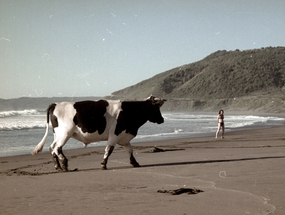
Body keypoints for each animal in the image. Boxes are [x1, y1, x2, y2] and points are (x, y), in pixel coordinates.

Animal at [31, 95, 164, 171]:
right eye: (156, 109)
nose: (162, 120)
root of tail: (55, 104)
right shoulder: (114, 134)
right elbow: (109, 150)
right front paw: (103, 164)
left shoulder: (124, 136)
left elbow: (130, 150)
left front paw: (135, 163)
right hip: (65, 133)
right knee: (57, 148)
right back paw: (64, 164)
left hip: (57, 134)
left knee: (52, 147)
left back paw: (58, 166)